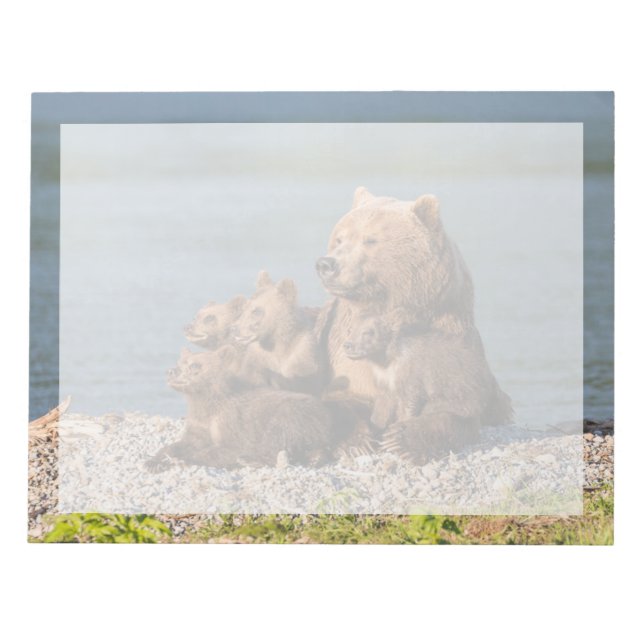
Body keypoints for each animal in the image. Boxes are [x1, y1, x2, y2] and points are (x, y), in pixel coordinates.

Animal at [146, 345, 336, 470]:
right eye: (179, 362)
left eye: (194, 365)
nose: (171, 371)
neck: (205, 400)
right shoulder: (199, 422)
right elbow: (185, 442)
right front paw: (154, 460)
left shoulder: (232, 421)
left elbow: (228, 448)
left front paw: (184, 460)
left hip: (294, 415)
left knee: (277, 438)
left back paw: (249, 459)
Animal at [315, 187, 512, 463]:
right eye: (340, 239)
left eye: (370, 240)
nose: (327, 264)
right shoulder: (344, 348)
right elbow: (344, 394)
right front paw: (356, 442)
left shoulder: (447, 338)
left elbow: (452, 410)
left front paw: (401, 440)